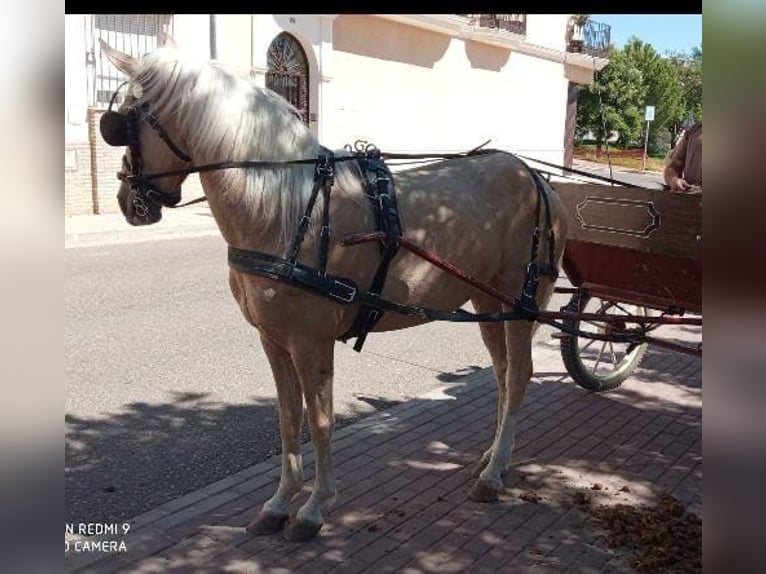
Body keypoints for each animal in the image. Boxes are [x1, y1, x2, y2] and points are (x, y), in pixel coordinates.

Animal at [100, 38, 568, 544]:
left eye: (123, 120)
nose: (127, 201)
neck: (289, 210)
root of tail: (536, 178)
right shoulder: (273, 340)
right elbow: (288, 419)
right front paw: (279, 503)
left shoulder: (311, 342)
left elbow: (320, 421)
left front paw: (313, 508)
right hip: (489, 303)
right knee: (502, 376)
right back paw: (493, 455)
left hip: (520, 303)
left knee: (518, 376)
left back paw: (493, 473)